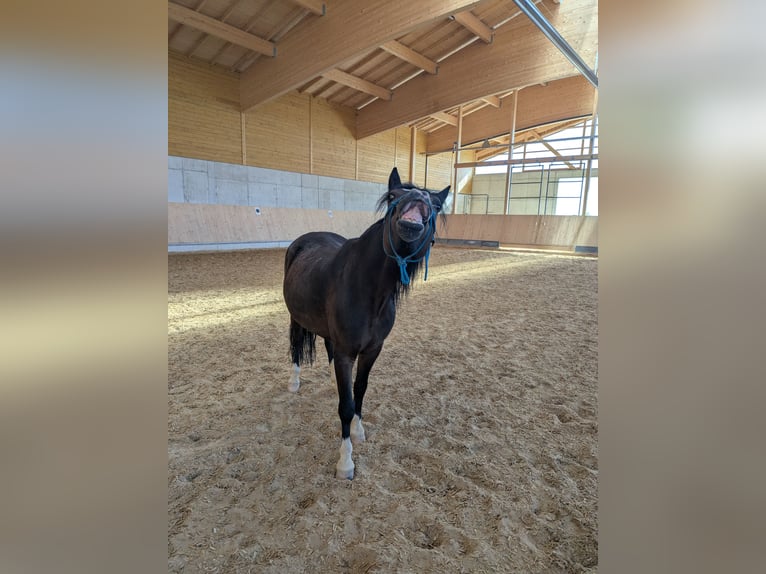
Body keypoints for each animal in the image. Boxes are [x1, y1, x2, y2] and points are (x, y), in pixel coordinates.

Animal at [282, 167, 450, 479]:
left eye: (434, 206)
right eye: (394, 196)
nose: (417, 199)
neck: (369, 292)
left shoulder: (372, 350)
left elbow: (359, 390)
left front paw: (359, 431)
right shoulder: (347, 353)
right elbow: (345, 407)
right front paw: (345, 462)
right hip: (296, 318)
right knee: (297, 345)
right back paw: (294, 382)